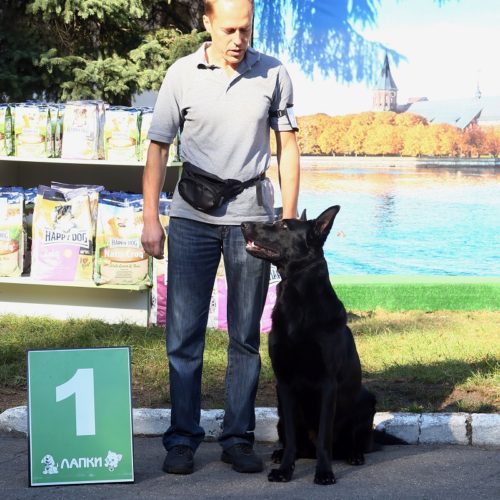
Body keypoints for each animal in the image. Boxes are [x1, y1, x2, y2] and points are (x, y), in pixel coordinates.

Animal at [242, 206, 395, 485]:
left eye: (283, 226)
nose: (243, 225)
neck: (298, 298)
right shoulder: (285, 384)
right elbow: (291, 439)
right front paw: (285, 470)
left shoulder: (327, 384)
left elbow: (325, 437)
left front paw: (324, 473)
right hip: (280, 410)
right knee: (292, 440)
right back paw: (279, 454)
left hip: (366, 400)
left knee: (355, 442)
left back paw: (354, 454)